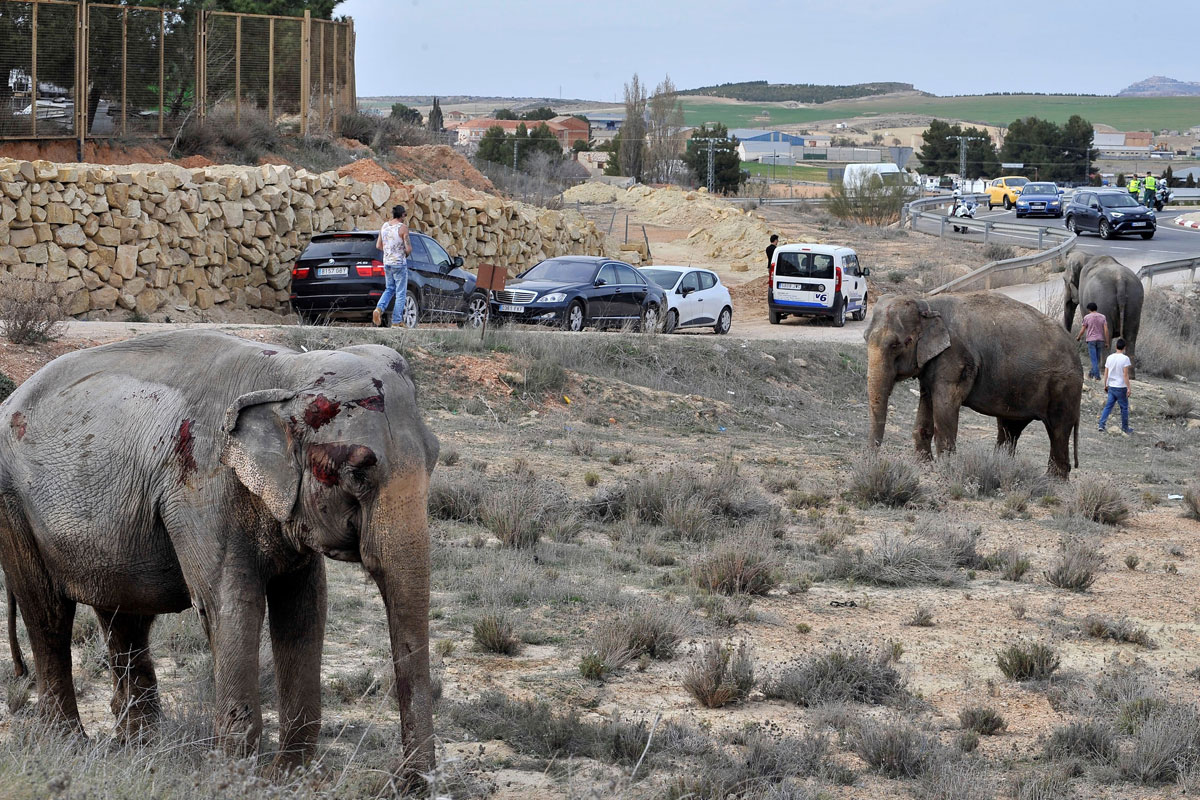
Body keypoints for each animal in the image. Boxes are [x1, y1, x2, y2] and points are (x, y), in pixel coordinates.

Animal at [0, 331, 441, 782]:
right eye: (357, 473)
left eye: (436, 456)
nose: (408, 783)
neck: (286, 375)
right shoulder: (201, 488)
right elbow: (231, 605)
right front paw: (233, 777)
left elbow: (305, 607)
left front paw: (287, 777)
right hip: (13, 506)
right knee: (48, 614)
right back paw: (69, 744)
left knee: (125, 617)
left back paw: (139, 749)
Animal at [868, 293, 1084, 482]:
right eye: (865, 338)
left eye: (896, 345)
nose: (875, 459)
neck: (927, 303)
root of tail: (1076, 351)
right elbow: (927, 401)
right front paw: (923, 465)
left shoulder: (954, 358)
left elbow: (945, 405)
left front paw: (945, 469)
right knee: (1010, 428)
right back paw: (1003, 467)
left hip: (1064, 387)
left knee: (1058, 429)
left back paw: (1053, 481)